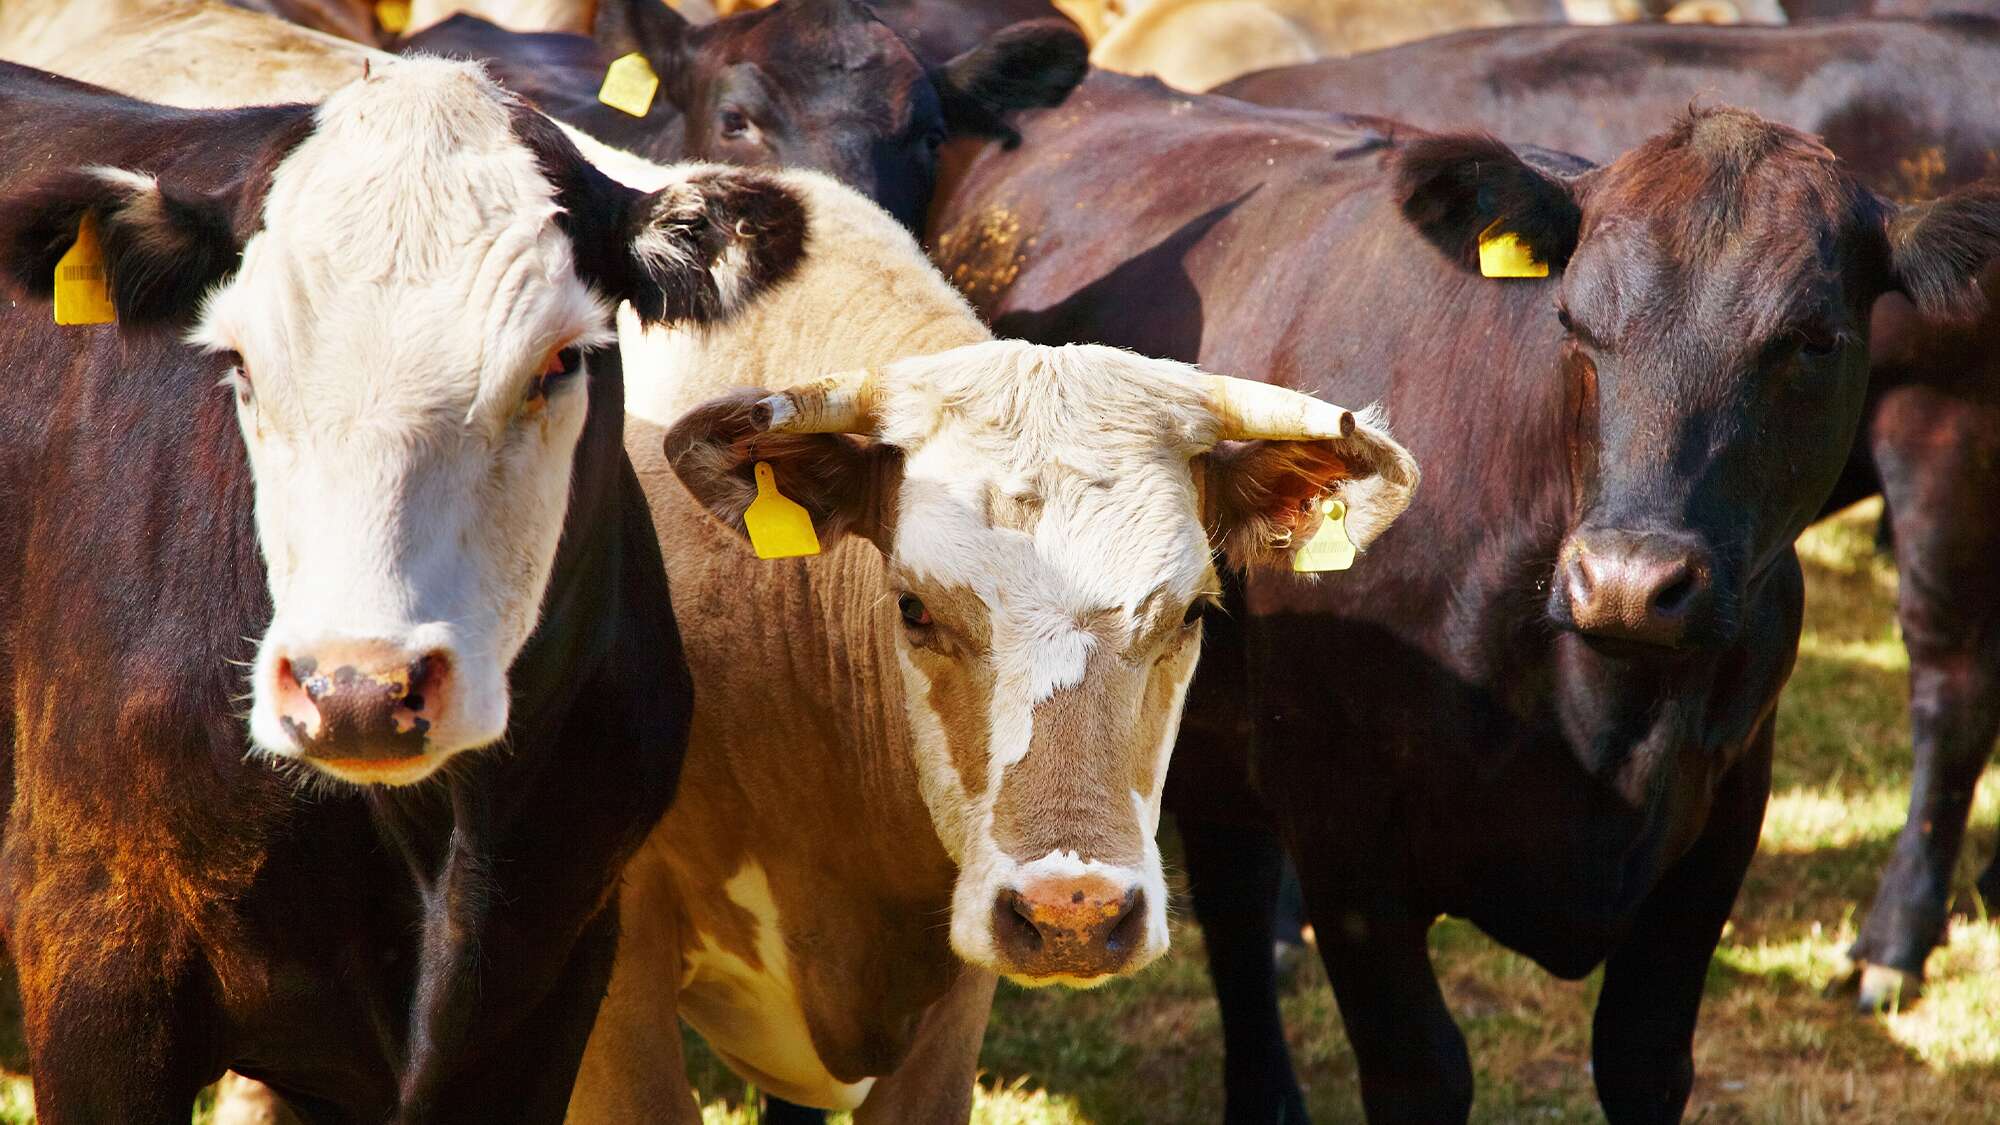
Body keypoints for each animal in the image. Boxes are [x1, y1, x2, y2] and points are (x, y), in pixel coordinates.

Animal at [1208, 10, 2000, 1008]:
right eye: (1570, 319)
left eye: (1815, 340)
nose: (1627, 583)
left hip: (1946, 431)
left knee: (1954, 684)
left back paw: (1893, 940)